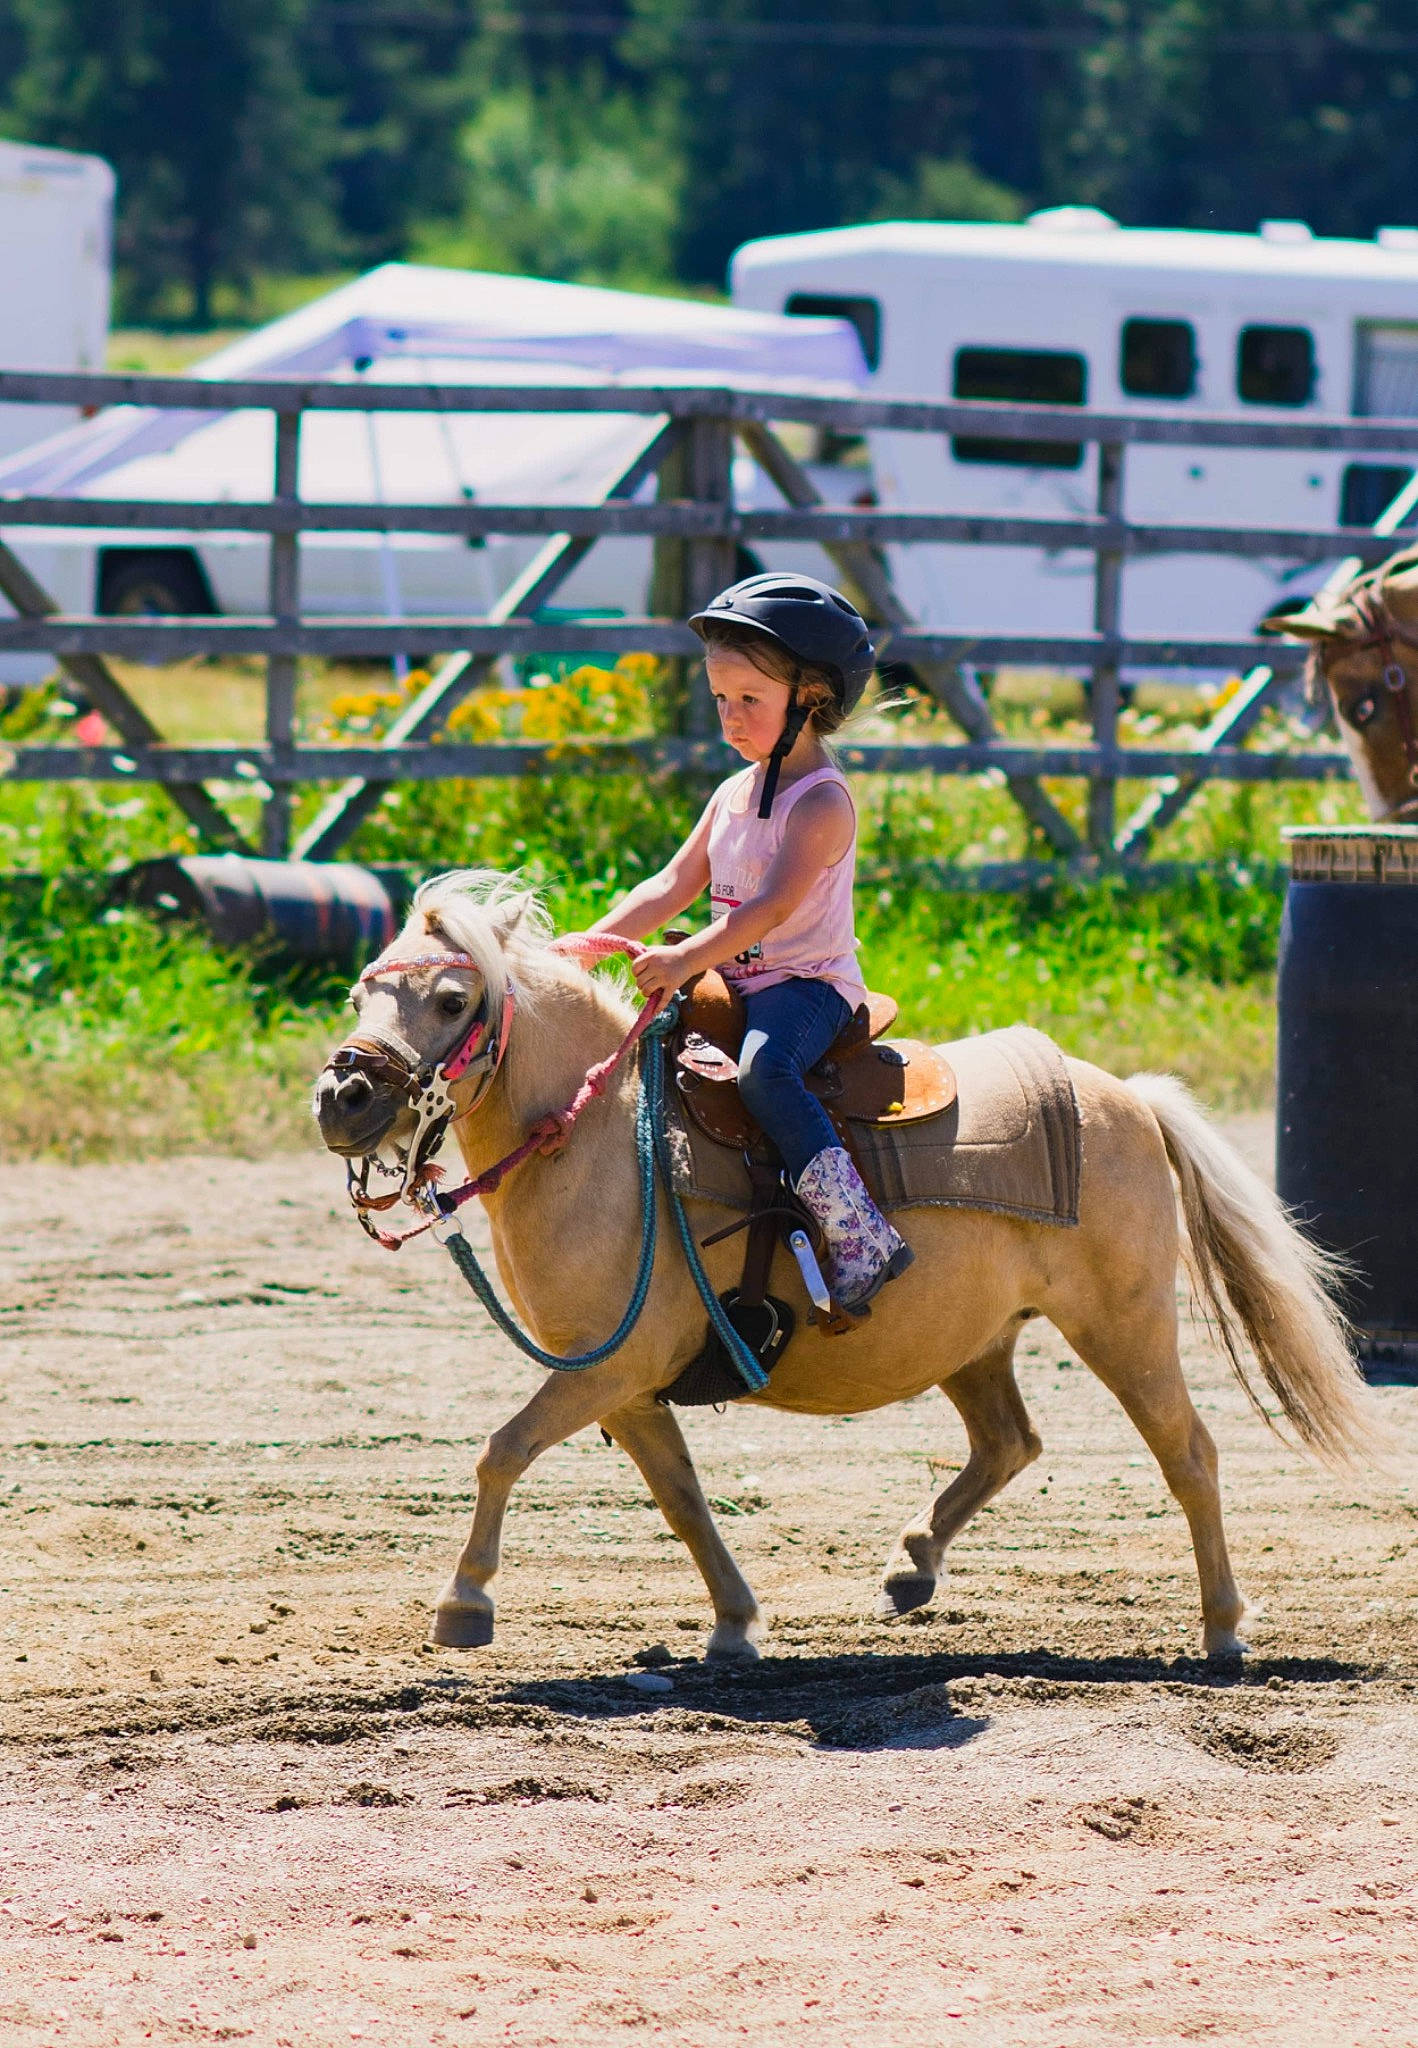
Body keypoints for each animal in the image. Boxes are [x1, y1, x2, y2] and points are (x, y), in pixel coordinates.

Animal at [313, 868, 1372, 1665]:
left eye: (453, 999)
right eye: (363, 992)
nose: (344, 1097)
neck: (607, 1142)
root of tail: (1129, 1097)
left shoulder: (610, 1367)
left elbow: (502, 1451)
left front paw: (463, 1602)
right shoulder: (628, 1383)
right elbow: (683, 1498)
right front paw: (735, 1622)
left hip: (1126, 1325)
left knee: (1188, 1453)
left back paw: (1225, 1627)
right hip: (974, 1341)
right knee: (1010, 1442)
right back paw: (912, 1565)